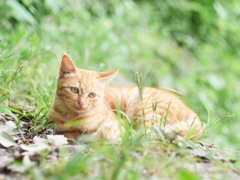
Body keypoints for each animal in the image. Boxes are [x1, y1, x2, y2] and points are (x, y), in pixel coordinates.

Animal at [48, 54, 202, 141]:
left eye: (91, 95)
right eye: (74, 90)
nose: (81, 103)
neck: (72, 118)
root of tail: (192, 113)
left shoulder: (118, 124)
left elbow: (106, 133)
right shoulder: (58, 127)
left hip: (144, 110)